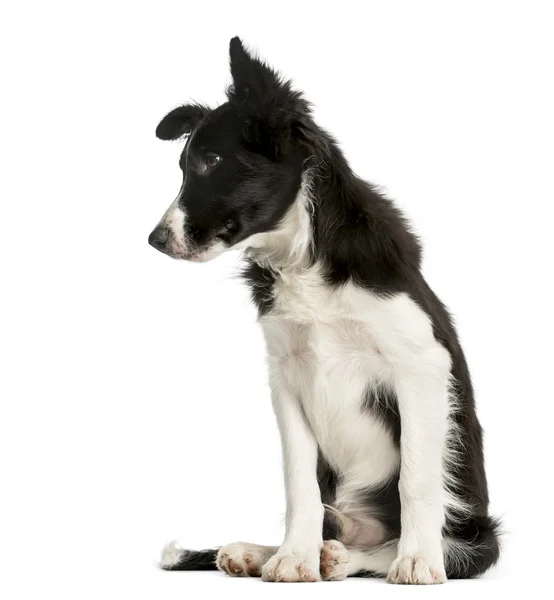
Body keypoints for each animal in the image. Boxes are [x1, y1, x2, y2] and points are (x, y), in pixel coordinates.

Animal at [149, 36, 498, 580]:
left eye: (210, 161)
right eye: (185, 166)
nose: (156, 240)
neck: (301, 257)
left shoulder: (420, 364)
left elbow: (416, 480)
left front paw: (418, 559)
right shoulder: (286, 376)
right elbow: (300, 485)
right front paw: (293, 557)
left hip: (480, 538)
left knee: (405, 544)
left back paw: (352, 556)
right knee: (332, 519)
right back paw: (262, 552)